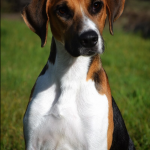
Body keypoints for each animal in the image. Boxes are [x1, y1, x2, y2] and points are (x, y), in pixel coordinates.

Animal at [21, 0, 135, 149]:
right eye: (62, 10)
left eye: (97, 5)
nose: (89, 39)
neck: (71, 74)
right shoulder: (34, 142)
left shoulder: (94, 143)